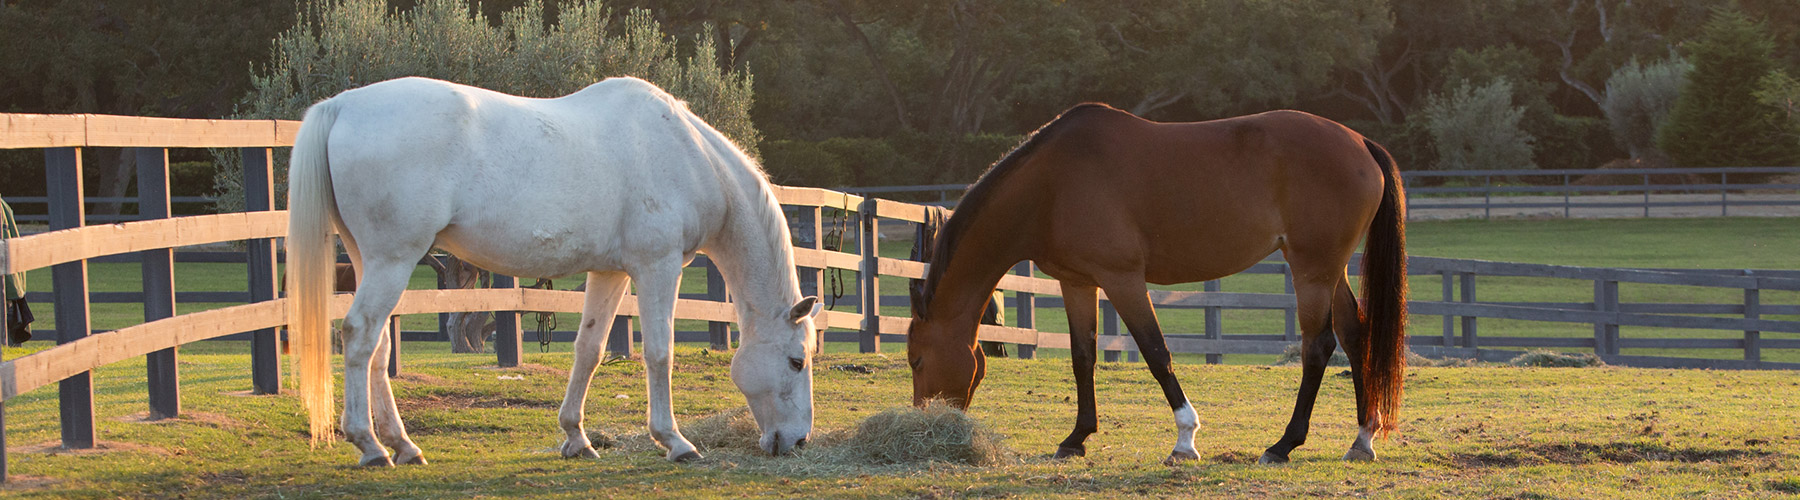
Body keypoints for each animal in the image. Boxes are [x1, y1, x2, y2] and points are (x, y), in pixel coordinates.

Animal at [284, 75, 820, 467]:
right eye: (797, 360)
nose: (797, 442)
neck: (687, 154)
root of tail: (343, 106)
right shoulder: (658, 267)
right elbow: (659, 353)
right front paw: (675, 441)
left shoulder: (610, 273)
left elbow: (590, 350)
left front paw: (576, 438)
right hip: (392, 261)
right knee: (359, 335)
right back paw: (370, 446)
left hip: (369, 259)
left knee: (376, 348)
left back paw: (402, 446)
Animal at [914, 104, 1404, 464]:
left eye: (916, 360)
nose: (925, 420)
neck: (1050, 186)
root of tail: (1360, 142)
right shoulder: (1078, 283)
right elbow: (1083, 356)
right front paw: (1076, 438)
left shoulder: (1123, 279)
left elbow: (1155, 352)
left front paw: (1185, 439)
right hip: (1329, 271)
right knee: (1356, 337)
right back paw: (1362, 439)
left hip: (1312, 270)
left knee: (1318, 346)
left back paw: (1283, 445)